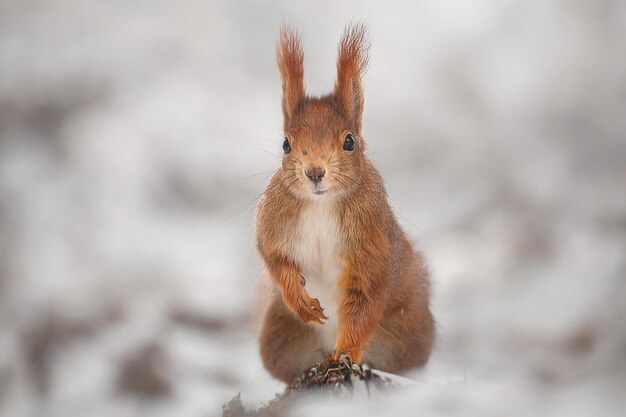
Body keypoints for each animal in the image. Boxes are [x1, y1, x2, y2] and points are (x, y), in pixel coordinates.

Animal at [255, 24, 434, 382]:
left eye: (349, 141)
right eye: (285, 144)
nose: (314, 172)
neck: (321, 205)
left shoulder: (371, 248)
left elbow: (362, 304)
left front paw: (345, 354)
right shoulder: (273, 225)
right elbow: (274, 259)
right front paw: (302, 302)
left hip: (407, 329)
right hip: (278, 335)